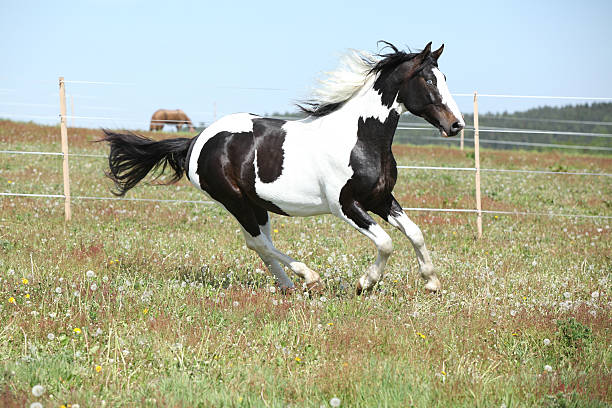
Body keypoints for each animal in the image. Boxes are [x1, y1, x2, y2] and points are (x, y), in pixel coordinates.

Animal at [101, 42, 464, 294]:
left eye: (445, 78)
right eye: (429, 80)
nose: (456, 125)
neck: (359, 138)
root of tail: (196, 141)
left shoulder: (380, 199)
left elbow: (415, 233)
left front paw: (431, 283)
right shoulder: (346, 206)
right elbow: (386, 243)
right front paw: (365, 283)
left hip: (256, 203)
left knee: (261, 243)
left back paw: (289, 286)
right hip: (233, 200)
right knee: (258, 243)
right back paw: (309, 278)